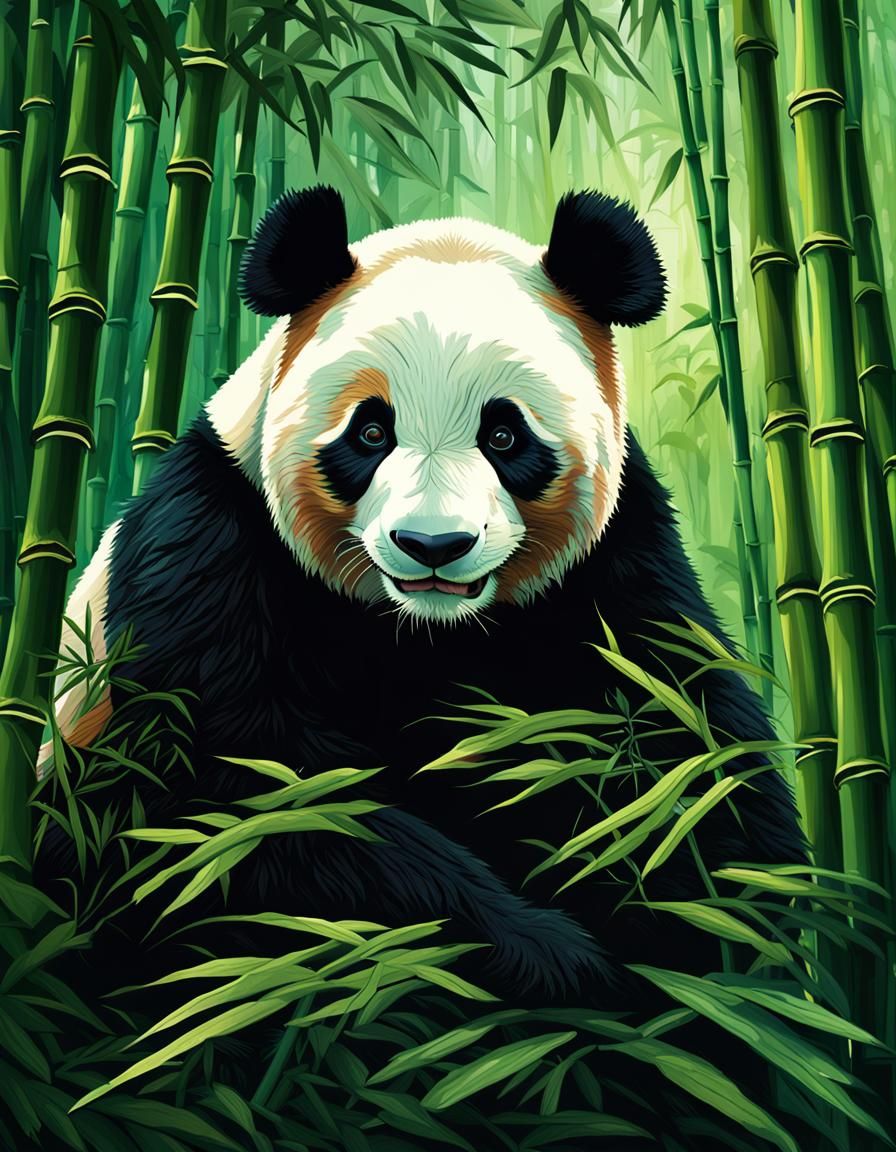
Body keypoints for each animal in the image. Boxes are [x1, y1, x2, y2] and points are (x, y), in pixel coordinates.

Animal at [39, 186, 803, 1011]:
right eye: (371, 432)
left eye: (505, 436)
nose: (433, 546)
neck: (429, 629)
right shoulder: (211, 547)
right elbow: (248, 799)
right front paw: (556, 963)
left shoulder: (615, 567)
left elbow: (682, 751)